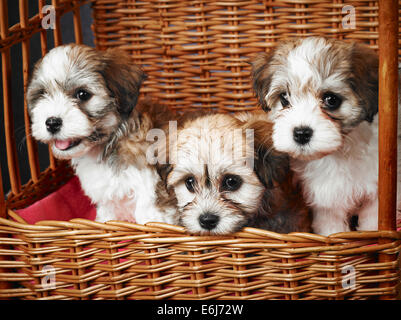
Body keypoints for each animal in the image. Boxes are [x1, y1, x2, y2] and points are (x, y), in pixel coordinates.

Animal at [27, 43, 176, 225]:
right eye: (42, 94)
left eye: (82, 94)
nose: (52, 123)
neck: (109, 145)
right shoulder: (106, 200)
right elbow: (106, 217)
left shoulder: (149, 193)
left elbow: (148, 219)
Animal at [252, 37, 398, 235]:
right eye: (284, 98)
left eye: (331, 99)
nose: (301, 133)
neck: (342, 151)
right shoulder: (327, 199)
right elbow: (331, 227)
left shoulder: (376, 194)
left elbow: (372, 223)